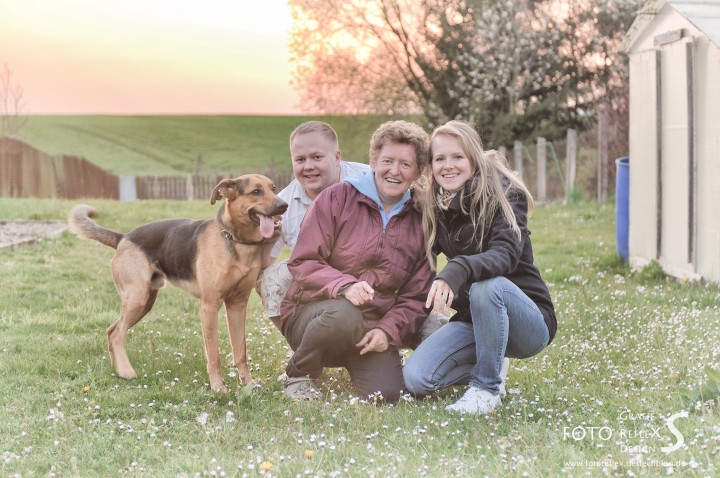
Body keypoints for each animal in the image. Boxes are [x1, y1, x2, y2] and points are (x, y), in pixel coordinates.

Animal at [68, 176, 286, 392]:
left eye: (274, 188)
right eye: (256, 192)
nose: (284, 206)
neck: (235, 240)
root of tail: (123, 238)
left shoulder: (238, 305)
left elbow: (240, 350)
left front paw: (247, 382)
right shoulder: (209, 306)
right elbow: (213, 354)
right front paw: (218, 387)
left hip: (144, 303)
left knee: (111, 330)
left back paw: (119, 369)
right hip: (137, 299)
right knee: (115, 333)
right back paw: (126, 371)